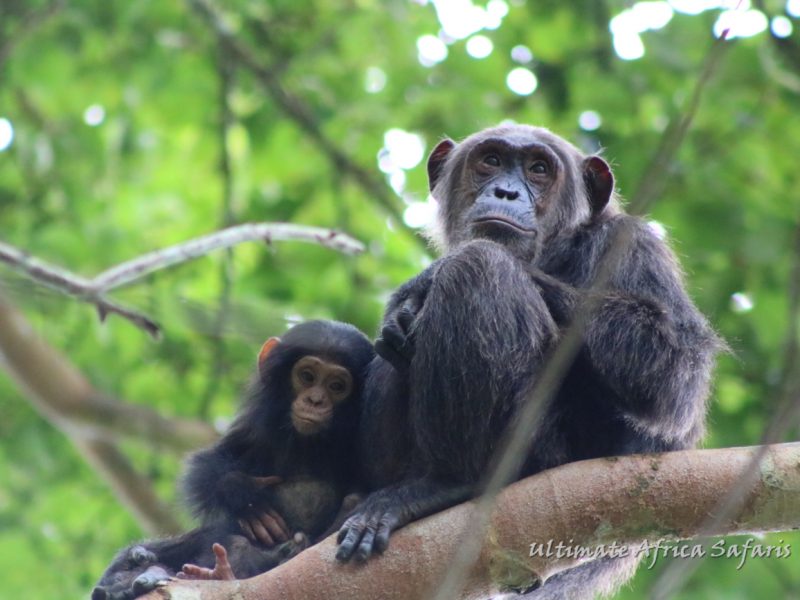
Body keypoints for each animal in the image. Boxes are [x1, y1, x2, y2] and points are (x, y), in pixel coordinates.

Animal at [92, 322, 374, 596]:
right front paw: (245, 495)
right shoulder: (254, 428)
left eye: (337, 385)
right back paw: (133, 573)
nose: (315, 400)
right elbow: (210, 463)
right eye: (307, 376)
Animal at [334, 124, 720, 596]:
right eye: (491, 160)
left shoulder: (634, 246)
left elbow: (673, 374)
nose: (506, 191)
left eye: (538, 169)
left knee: (480, 265)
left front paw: (426, 278)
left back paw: (447, 484)